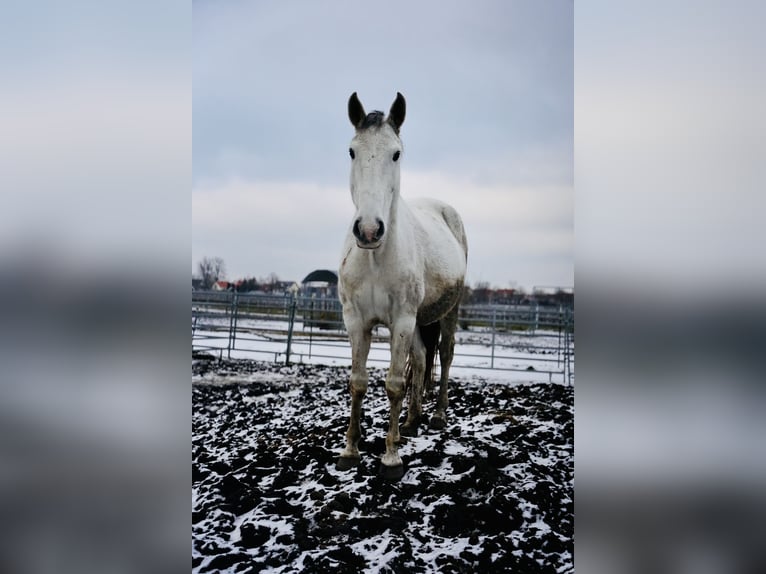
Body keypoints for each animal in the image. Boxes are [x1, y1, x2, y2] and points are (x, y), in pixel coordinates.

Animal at [340, 93, 472, 482]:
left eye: (396, 154)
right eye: (352, 151)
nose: (369, 230)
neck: (375, 258)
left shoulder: (399, 321)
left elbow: (394, 384)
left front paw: (391, 460)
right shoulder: (356, 321)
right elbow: (358, 382)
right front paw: (350, 451)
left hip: (447, 312)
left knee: (444, 354)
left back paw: (438, 415)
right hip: (416, 321)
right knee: (423, 356)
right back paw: (411, 422)